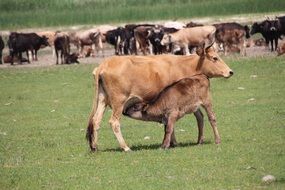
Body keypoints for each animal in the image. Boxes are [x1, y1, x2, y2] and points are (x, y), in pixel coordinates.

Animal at [85, 42, 232, 152]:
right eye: (215, 58)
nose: (230, 71)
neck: (185, 65)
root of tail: (103, 65)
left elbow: (194, 118)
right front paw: (172, 142)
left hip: (102, 100)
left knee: (96, 121)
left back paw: (95, 147)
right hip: (118, 103)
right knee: (114, 122)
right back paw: (125, 147)